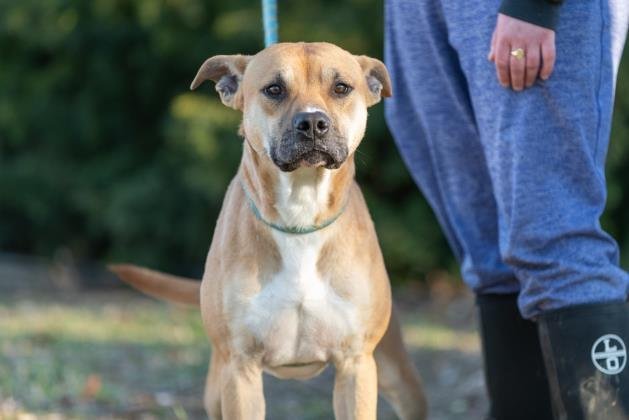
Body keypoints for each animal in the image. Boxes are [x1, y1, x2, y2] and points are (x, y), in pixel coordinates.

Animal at [111, 42, 426, 420]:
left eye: (341, 88)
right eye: (274, 89)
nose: (313, 122)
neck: (300, 218)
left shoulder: (356, 364)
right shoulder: (240, 368)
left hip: (400, 379)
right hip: (216, 388)